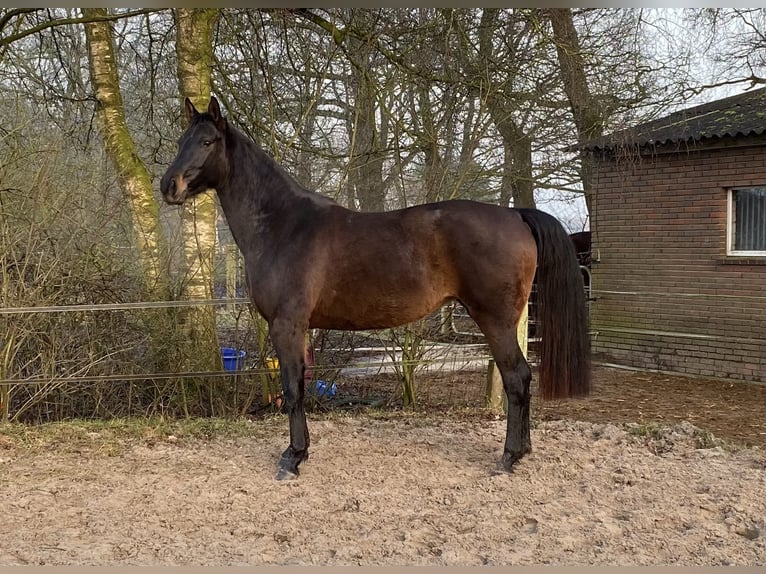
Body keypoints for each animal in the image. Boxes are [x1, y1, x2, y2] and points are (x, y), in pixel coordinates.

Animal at [160, 98, 592, 482]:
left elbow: (293, 389)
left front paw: (293, 458)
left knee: (517, 377)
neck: (283, 225)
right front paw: (300, 451)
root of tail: (514, 215)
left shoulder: (287, 325)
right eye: (182, 139)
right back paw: (523, 451)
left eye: (207, 142)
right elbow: (300, 385)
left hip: (495, 320)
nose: (169, 185)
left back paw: (509, 458)